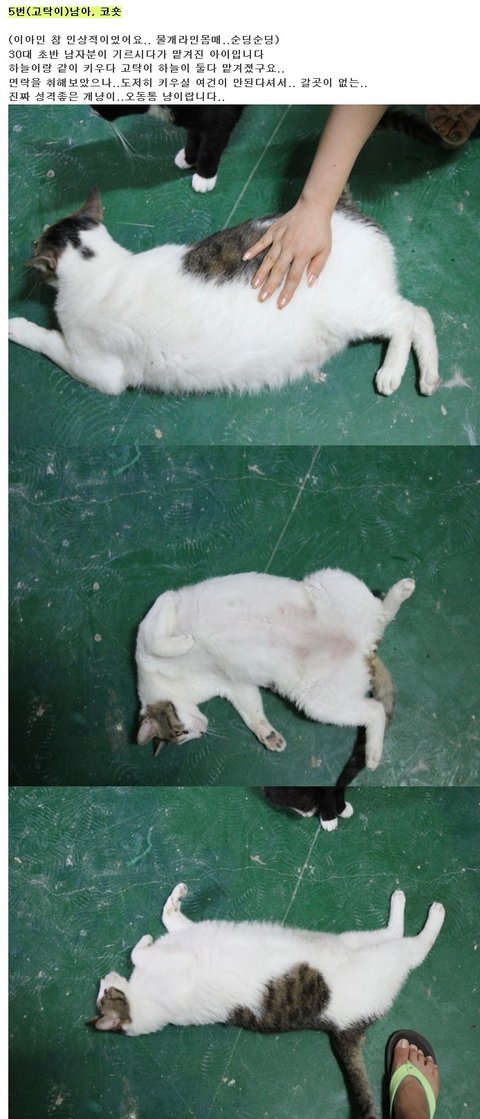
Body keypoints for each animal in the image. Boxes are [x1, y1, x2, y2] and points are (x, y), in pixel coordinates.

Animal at [8, 189, 439, 399]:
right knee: (416, 316)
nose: (32, 240)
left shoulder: (96, 369)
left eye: (37, 240)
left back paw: (394, 374)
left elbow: (47, 339)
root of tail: (342, 208)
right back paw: (428, 377)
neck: (103, 269)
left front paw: (16, 325)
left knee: (411, 315)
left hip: (356, 310)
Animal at [89, 881, 445, 1119]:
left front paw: (167, 911)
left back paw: (401, 903)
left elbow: (167, 920)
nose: (103, 978)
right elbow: (141, 952)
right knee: (415, 949)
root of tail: (345, 1029)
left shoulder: (184, 935)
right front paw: (145, 944)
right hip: (384, 959)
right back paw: (434, 915)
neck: (143, 1003)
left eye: (103, 994)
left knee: (393, 933)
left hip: (357, 942)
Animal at [93, 104, 244, 192]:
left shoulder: (222, 118)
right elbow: (193, 135)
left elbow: (210, 149)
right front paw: (188, 159)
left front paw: (204, 178)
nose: (94, 113)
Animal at [135, 567, 414, 771]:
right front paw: (268, 735)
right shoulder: (233, 685)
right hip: (318, 700)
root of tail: (363, 646)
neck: (179, 682)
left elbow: (158, 641)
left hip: (330, 582)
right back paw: (373, 754)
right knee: (375, 710)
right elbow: (252, 711)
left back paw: (401, 590)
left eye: (180, 732)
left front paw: (185, 642)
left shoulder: (161, 608)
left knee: (381, 612)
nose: (202, 732)